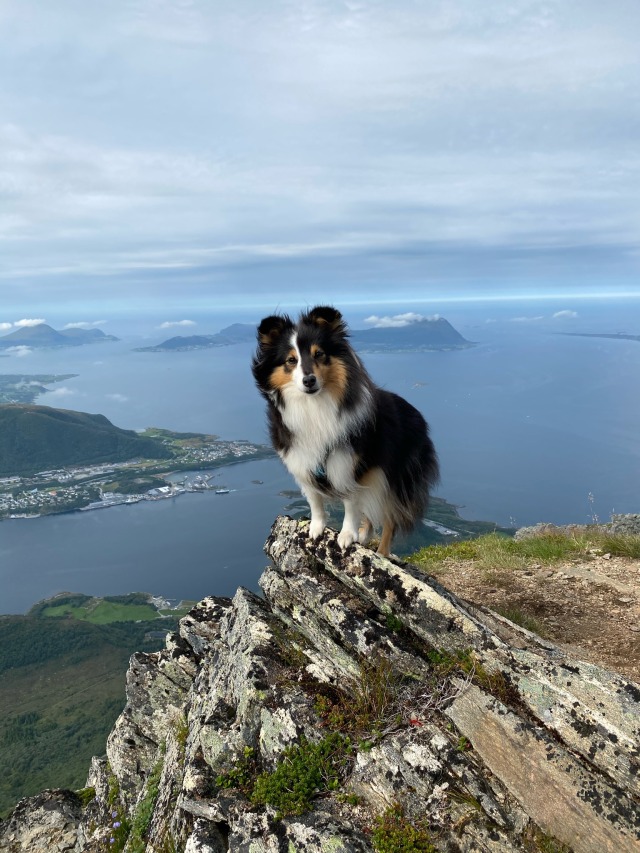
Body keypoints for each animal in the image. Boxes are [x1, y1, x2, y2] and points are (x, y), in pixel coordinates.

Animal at [251, 306, 440, 560]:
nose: (309, 380)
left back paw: (381, 553)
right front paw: (316, 528)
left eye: (319, 354)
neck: (314, 407)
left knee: (389, 519)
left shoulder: (351, 465)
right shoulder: (302, 460)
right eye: (291, 360)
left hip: (393, 480)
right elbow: (315, 499)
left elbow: (351, 503)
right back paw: (364, 535)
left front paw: (347, 535)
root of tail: (418, 415)